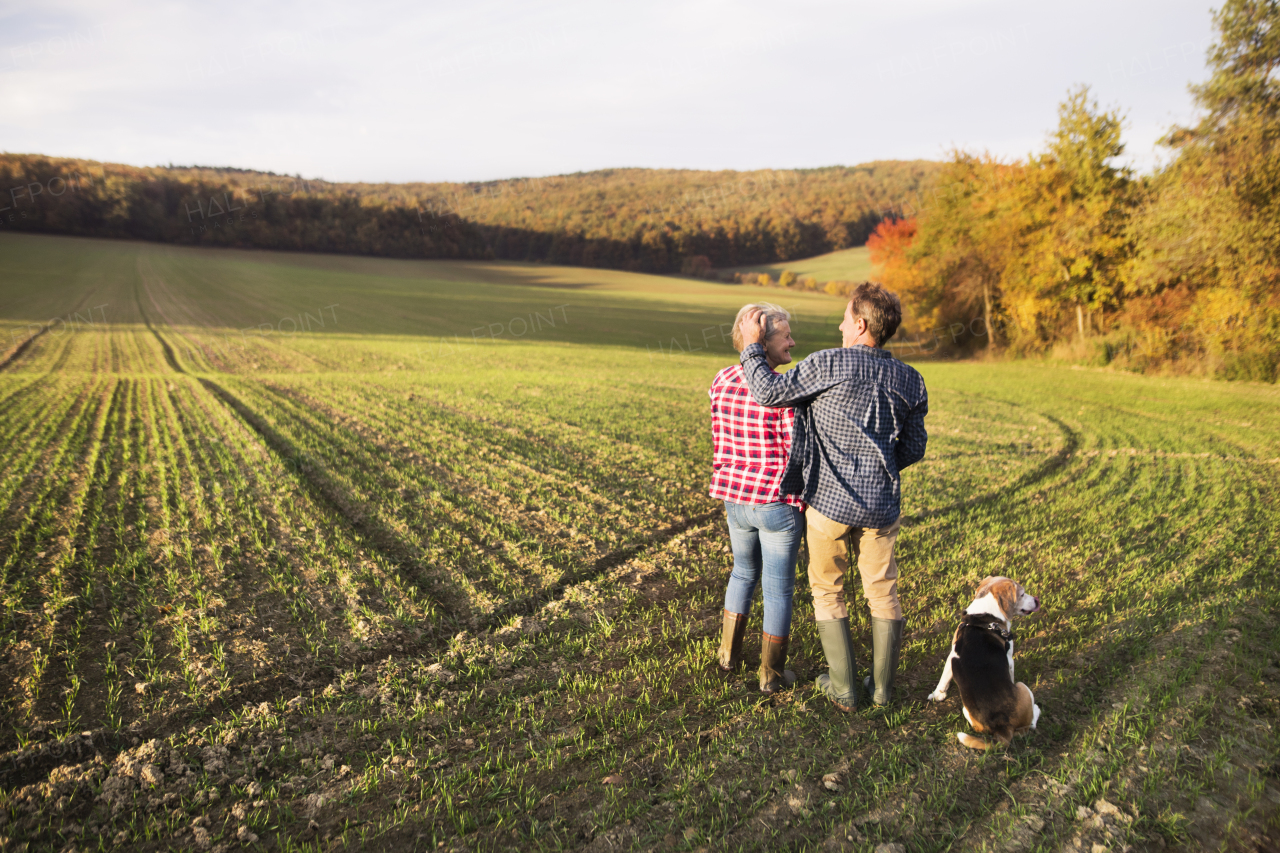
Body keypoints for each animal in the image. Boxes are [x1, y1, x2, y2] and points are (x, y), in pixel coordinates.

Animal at [931, 573, 1039, 747]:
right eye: (1022, 594)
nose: (1036, 600)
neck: (984, 618)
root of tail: (1003, 728)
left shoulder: (952, 654)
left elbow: (944, 676)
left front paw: (937, 694)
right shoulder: (1010, 659)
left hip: (966, 710)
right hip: (1023, 687)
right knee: (1030, 725)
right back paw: (1036, 710)